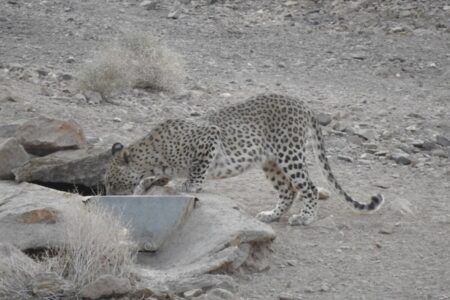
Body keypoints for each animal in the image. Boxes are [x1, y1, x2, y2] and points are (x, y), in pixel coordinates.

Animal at [104, 94, 384, 225]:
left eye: (111, 181)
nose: (109, 195)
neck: (152, 154)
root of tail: (302, 103)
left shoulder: (209, 137)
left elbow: (197, 170)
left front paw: (190, 186)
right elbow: (155, 178)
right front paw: (144, 186)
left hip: (289, 154)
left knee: (310, 187)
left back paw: (304, 218)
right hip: (271, 162)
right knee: (288, 191)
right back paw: (271, 215)